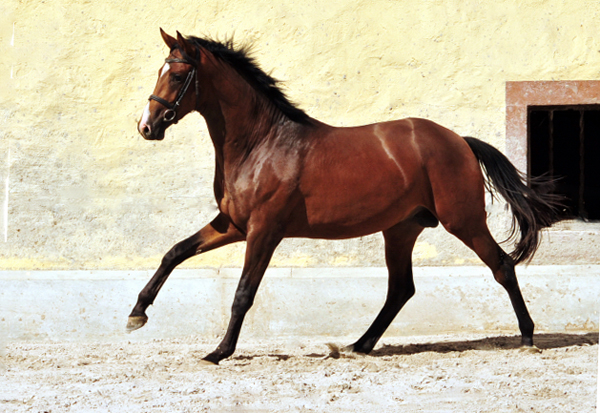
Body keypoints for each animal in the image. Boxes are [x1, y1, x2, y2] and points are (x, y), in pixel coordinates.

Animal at [126, 29, 564, 364]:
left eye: (178, 75)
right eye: (161, 70)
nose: (147, 127)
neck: (261, 144)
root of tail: (459, 141)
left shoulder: (264, 231)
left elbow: (243, 293)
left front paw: (219, 352)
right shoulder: (232, 225)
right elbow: (174, 252)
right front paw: (137, 314)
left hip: (464, 221)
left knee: (502, 266)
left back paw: (527, 337)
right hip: (401, 230)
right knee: (401, 288)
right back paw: (359, 344)